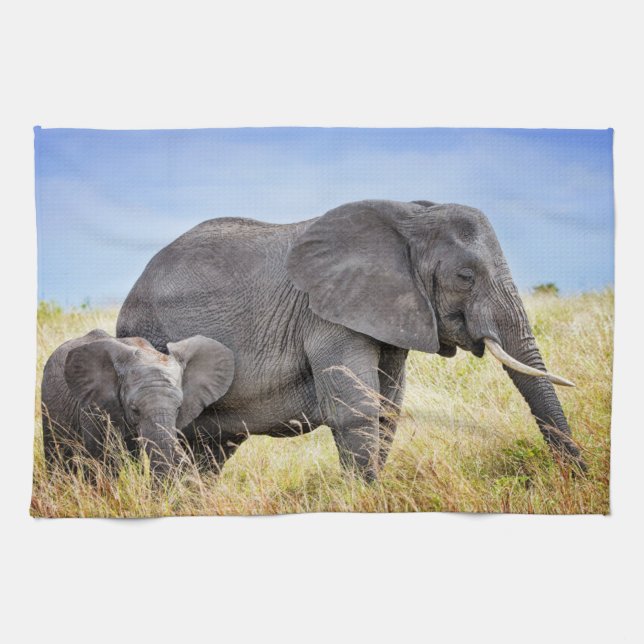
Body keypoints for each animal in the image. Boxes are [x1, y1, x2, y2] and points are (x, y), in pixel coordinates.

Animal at [116, 199, 584, 481]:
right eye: (465, 277)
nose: (579, 477)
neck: (409, 218)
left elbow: (387, 410)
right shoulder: (327, 317)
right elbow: (356, 409)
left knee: (211, 450)